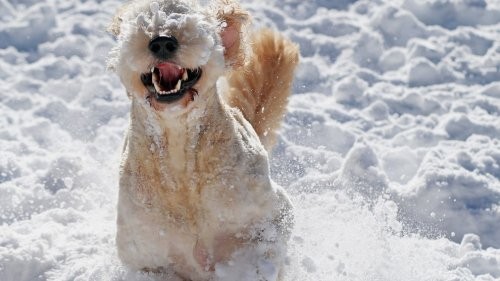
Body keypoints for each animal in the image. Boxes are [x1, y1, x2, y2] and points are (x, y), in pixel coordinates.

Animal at [108, 1, 298, 278]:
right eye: (141, 20)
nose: (162, 42)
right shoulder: (145, 259)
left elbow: (258, 256)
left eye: (196, 23)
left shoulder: (272, 218)